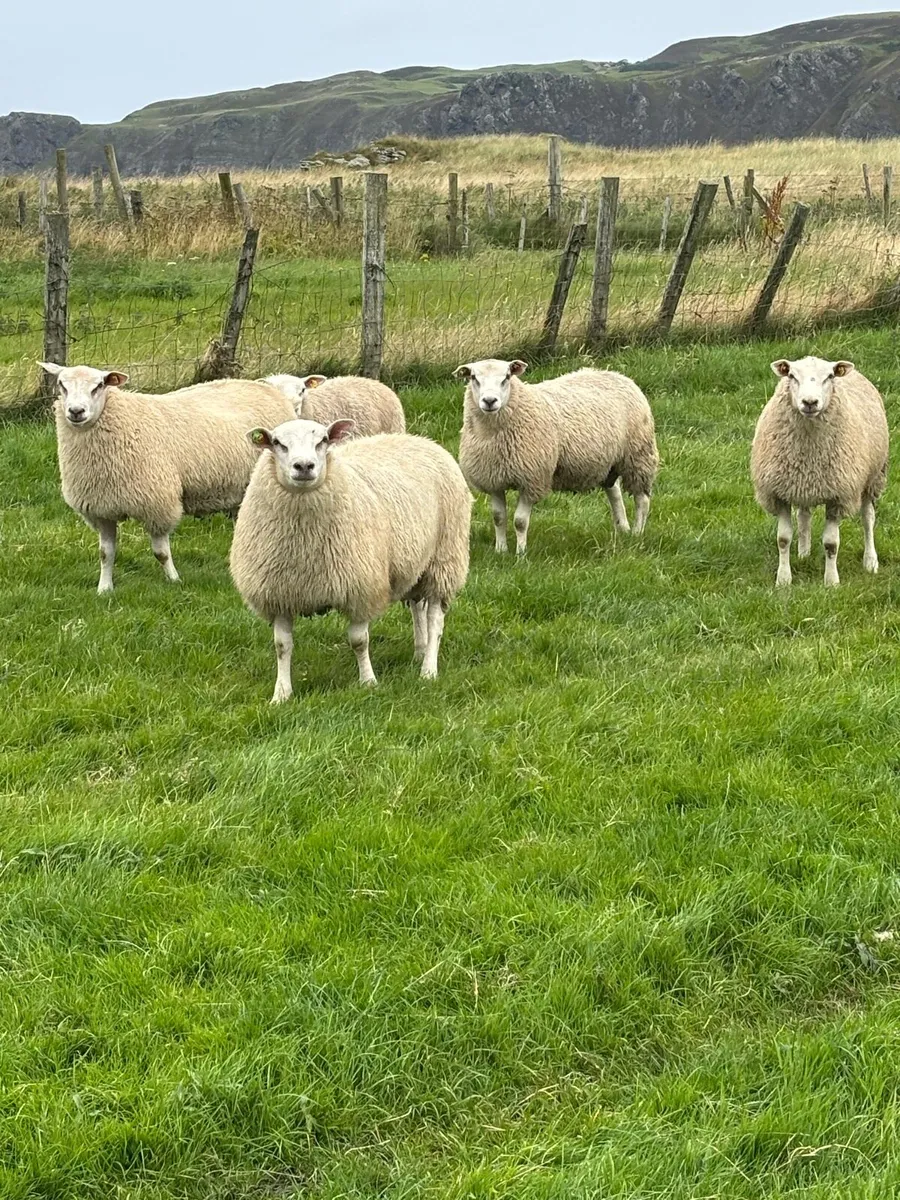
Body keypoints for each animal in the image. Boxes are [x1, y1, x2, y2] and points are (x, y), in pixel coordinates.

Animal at [42, 362, 296, 593]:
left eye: (99, 386)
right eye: (62, 385)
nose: (76, 411)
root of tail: (265, 387)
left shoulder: (158, 504)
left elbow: (161, 552)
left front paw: (174, 580)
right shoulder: (101, 510)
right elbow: (105, 554)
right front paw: (104, 588)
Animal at [230, 418, 472, 702]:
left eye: (323, 440)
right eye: (278, 443)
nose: (304, 466)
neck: (305, 545)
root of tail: (421, 439)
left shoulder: (360, 588)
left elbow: (359, 641)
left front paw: (368, 682)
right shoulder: (279, 595)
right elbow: (282, 646)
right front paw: (281, 693)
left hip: (444, 559)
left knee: (435, 619)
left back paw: (428, 669)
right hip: (416, 563)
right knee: (417, 607)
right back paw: (420, 651)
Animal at [455, 359, 659, 554]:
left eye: (506, 377)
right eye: (473, 377)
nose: (489, 401)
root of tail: (616, 374)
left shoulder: (532, 479)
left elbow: (520, 521)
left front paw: (521, 553)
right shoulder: (494, 479)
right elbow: (498, 518)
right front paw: (501, 550)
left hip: (638, 455)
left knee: (642, 498)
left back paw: (637, 532)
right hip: (608, 461)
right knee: (614, 492)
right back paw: (622, 528)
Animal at [751, 356, 889, 587]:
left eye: (830, 376)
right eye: (791, 376)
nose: (810, 402)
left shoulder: (838, 495)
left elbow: (831, 543)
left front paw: (831, 581)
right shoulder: (779, 493)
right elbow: (783, 539)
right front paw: (783, 579)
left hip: (874, 477)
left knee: (868, 518)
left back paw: (870, 561)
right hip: (802, 485)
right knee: (803, 516)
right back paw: (804, 553)